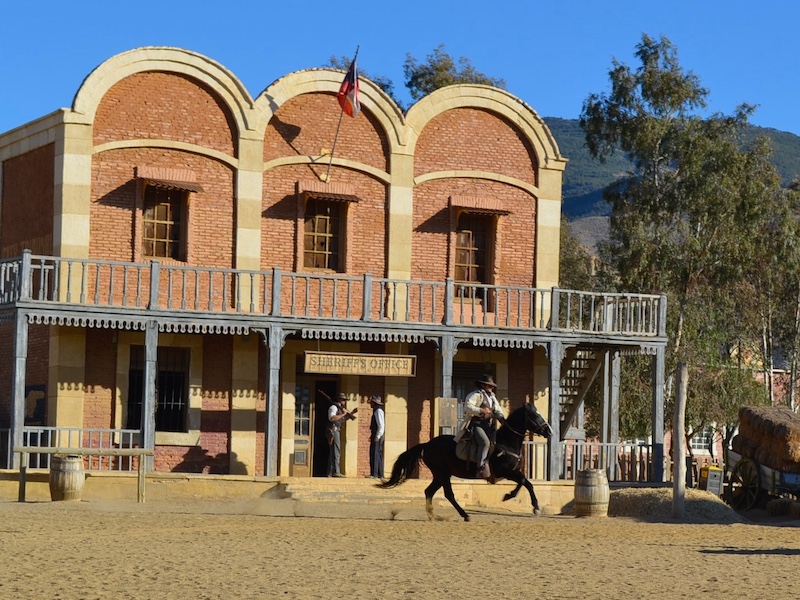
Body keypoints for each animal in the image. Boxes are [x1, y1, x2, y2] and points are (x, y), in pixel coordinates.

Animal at [378, 404, 552, 520]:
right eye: (535, 415)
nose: (549, 431)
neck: (506, 443)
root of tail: (427, 445)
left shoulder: (513, 472)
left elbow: (527, 483)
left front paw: (534, 506)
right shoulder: (506, 471)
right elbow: (524, 482)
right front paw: (510, 497)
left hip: (440, 475)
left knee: (429, 492)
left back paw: (434, 516)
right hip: (442, 474)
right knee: (448, 494)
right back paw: (464, 514)